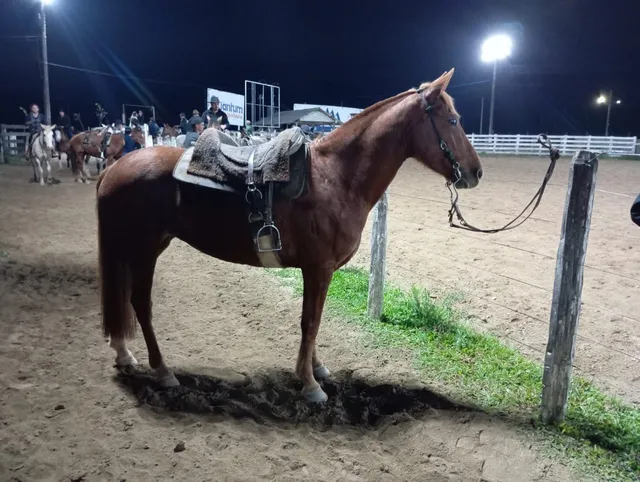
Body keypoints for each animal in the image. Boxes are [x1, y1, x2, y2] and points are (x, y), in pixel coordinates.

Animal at [97, 69, 482, 402]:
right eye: (453, 120)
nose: (476, 172)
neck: (337, 177)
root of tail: (116, 167)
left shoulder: (319, 272)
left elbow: (314, 320)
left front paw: (317, 368)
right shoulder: (318, 269)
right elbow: (310, 321)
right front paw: (310, 384)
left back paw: (124, 353)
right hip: (144, 250)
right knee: (140, 303)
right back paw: (163, 371)